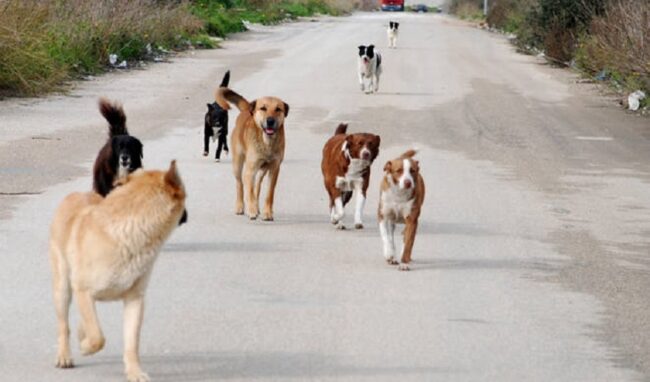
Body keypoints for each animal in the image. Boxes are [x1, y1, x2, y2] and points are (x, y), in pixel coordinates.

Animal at [47, 162, 185, 382]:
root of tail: (76, 194)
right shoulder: (83, 291)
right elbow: (98, 337)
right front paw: (86, 347)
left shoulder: (135, 300)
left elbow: (131, 343)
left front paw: (134, 371)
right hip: (63, 290)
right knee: (64, 326)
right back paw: (64, 355)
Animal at [215, 85, 288, 219]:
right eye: (263, 108)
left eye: (278, 109)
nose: (270, 121)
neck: (267, 142)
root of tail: (246, 110)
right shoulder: (250, 169)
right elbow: (249, 191)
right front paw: (252, 210)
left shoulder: (274, 169)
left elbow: (269, 194)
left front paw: (267, 212)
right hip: (238, 165)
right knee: (240, 185)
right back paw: (240, 206)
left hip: (262, 171)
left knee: (257, 185)